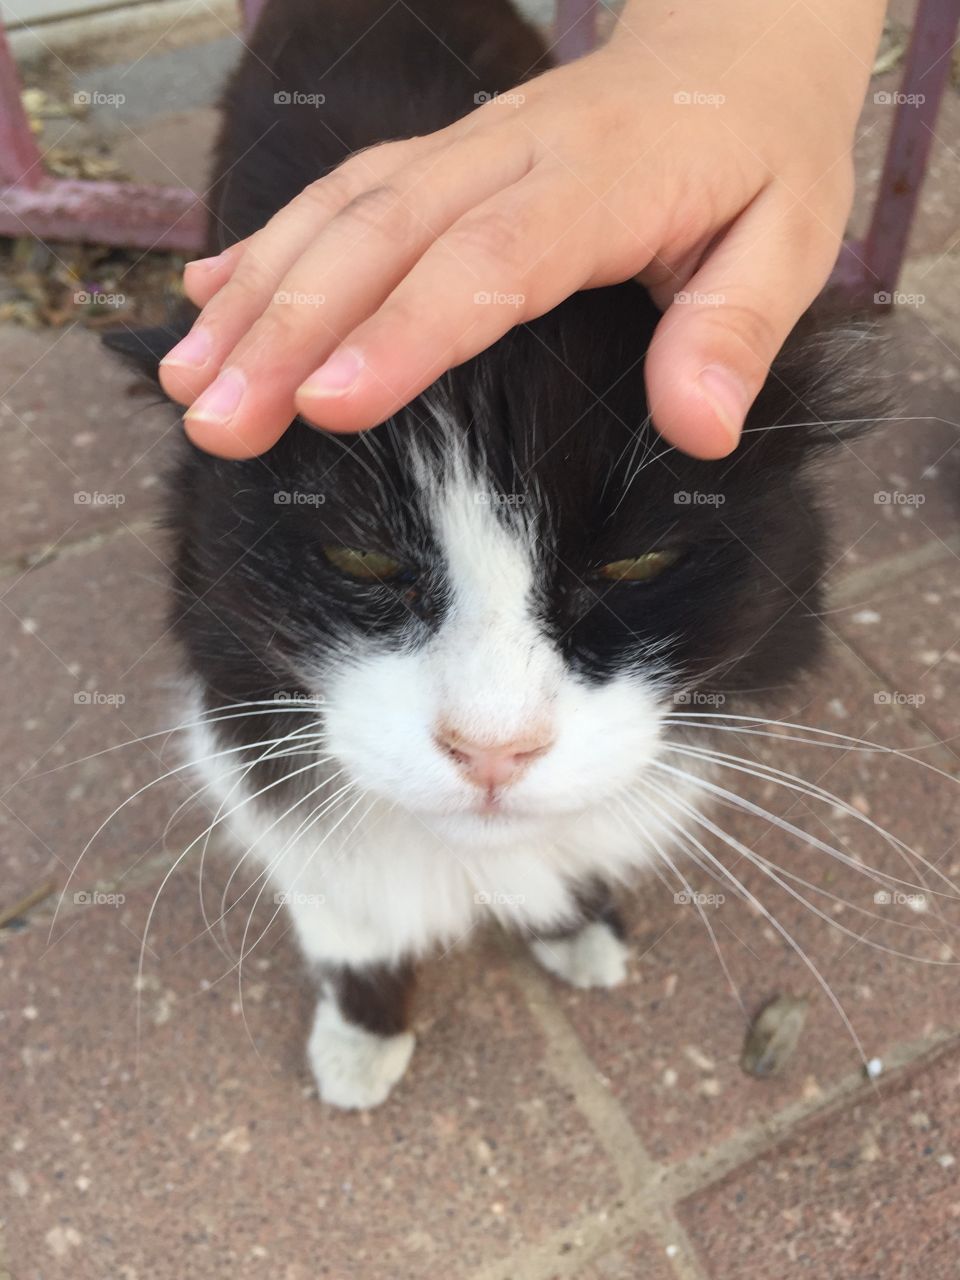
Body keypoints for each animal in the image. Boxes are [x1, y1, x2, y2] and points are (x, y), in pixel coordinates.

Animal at [104, 0, 880, 1105]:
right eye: (360, 562)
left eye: (635, 567)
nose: (493, 750)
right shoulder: (251, 737)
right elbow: (353, 924)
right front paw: (362, 1039)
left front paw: (577, 926)